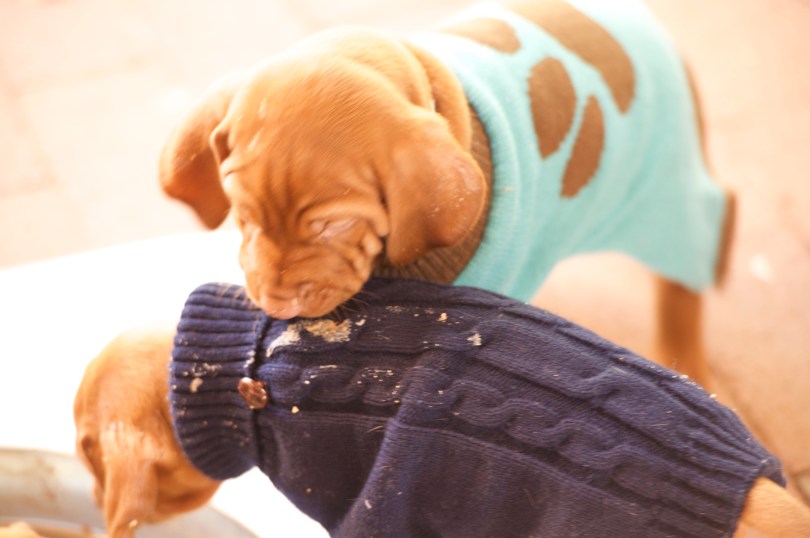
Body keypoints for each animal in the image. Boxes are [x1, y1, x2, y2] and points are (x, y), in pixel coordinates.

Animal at [159, 0, 735, 389]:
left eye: (335, 225)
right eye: (242, 214)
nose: (275, 302)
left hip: (670, 191)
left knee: (695, 267)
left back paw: (689, 359)